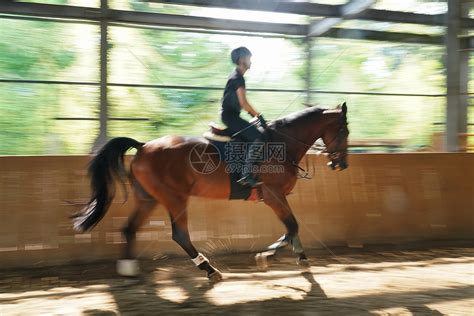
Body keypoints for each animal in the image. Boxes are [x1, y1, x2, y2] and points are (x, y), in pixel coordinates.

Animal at [72, 103, 350, 282]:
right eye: (344, 131)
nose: (341, 165)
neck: (282, 144)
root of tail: (143, 146)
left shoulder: (277, 197)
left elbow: (293, 228)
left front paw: (300, 257)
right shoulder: (273, 196)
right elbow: (292, 226)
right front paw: (267, 256)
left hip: (148, 199)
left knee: (129, 228)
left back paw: (128, 269)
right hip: (175, 198)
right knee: (180, 235)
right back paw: (209, 270)